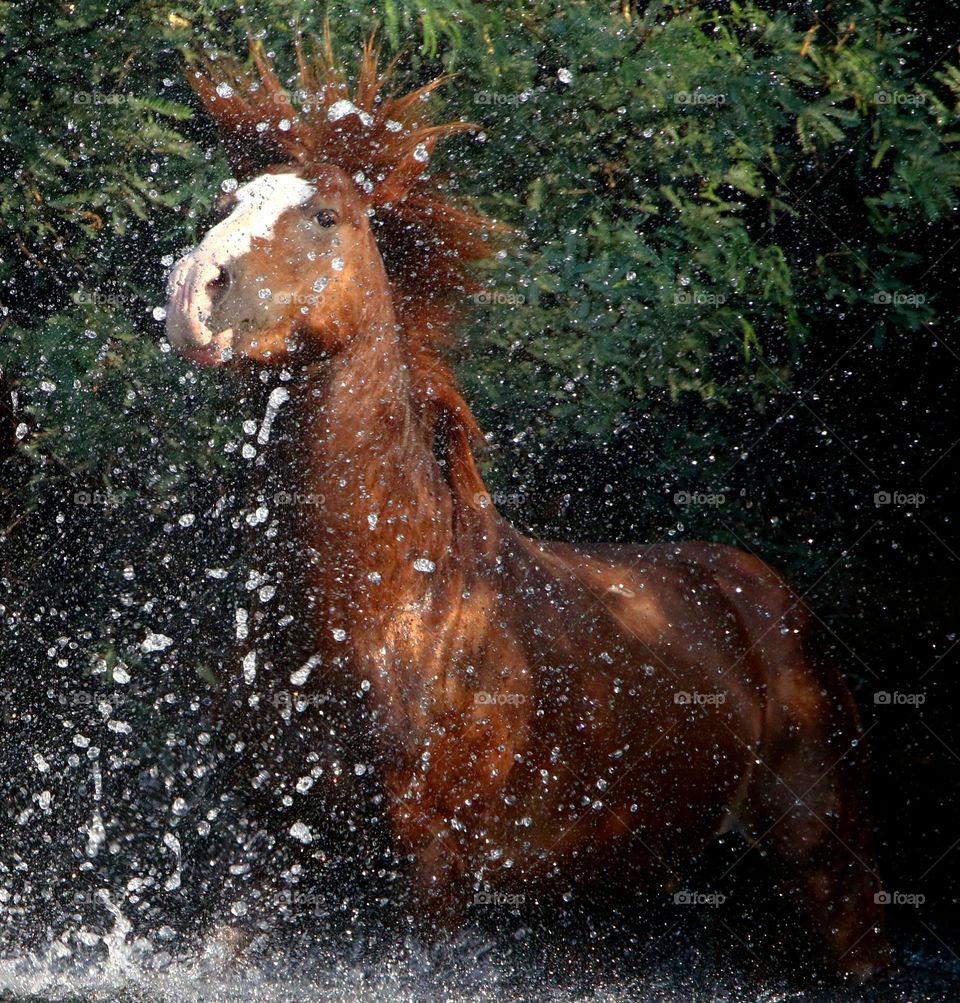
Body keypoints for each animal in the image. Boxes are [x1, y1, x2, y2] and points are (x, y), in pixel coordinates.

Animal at [163, 36, 889, 980]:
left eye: (326, 217)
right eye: (226, 203)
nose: (193, 296)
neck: (389, 608)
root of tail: (777, 600)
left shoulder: (430, 869)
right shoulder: (267, 849)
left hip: (828, 862)